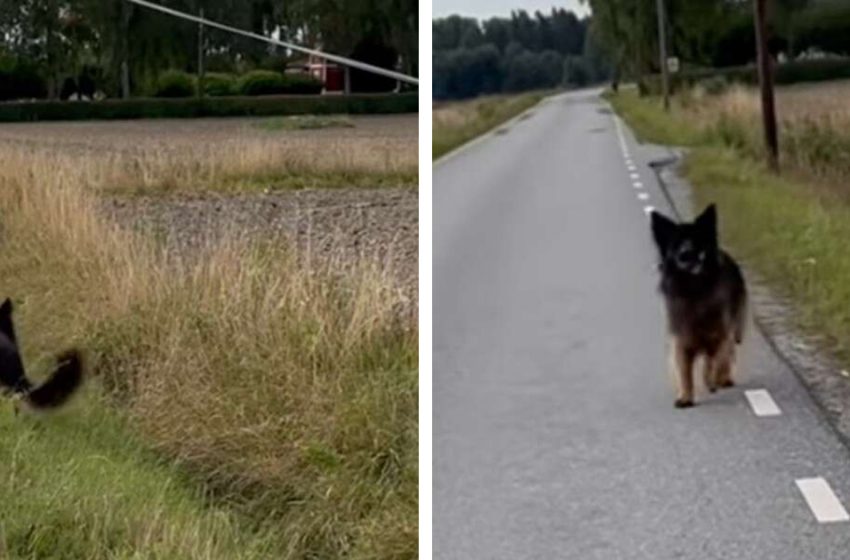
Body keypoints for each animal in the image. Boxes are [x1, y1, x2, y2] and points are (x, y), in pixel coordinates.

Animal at [648, 205, 744, 406]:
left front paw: (712, 379)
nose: (685, 252)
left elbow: (715, 360)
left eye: (697, 241)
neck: (694, 288)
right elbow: (684, 371)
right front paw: (685, 396)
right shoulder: (682, 339)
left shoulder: (720, 334)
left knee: (726, 354)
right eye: (676, 243)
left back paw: (722, 379)